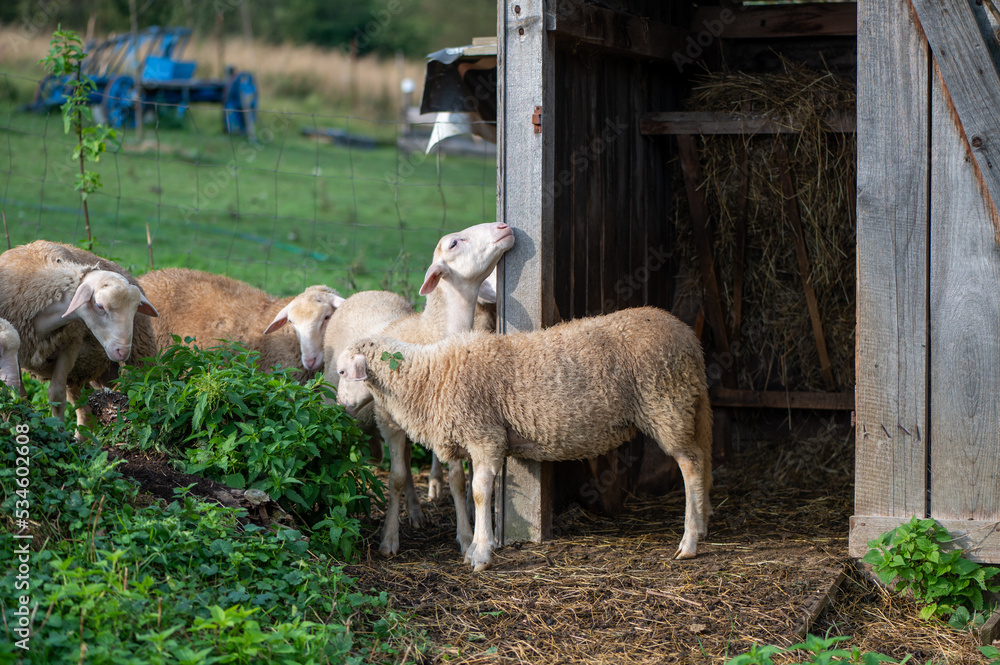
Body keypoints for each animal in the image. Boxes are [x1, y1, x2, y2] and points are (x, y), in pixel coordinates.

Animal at [0, 240, 159, 424]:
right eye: (99, 306)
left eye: (135, 309)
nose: (122, 351)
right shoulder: (18, 351)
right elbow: (21, 394)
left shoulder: (70, 346)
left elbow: (56, 395)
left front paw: (58, 427)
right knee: (86, 412)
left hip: (140, 357)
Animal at [323, 222, 514, 556]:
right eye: (453, 243)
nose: (504, 226)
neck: (430, 333)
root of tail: (364, 292)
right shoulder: (388, 420)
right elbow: (396, 478)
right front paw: (389, 539)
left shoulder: (448, 420)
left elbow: (458, 479)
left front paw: (465, 537)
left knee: (410, 459)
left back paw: (415, 512)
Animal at [336, 306, 713, 571]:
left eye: (342, 372)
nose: (340, 406)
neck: (429, 376)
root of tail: (688, 339)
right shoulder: (478, 438)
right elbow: (473, 489)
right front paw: (475, 546)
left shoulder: (485, 436)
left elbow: (479, 493)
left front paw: (481, 553)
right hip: (684, 405)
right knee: (700, 460)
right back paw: (702, 527)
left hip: (666, 404)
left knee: (692, 465)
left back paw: (689, 542)